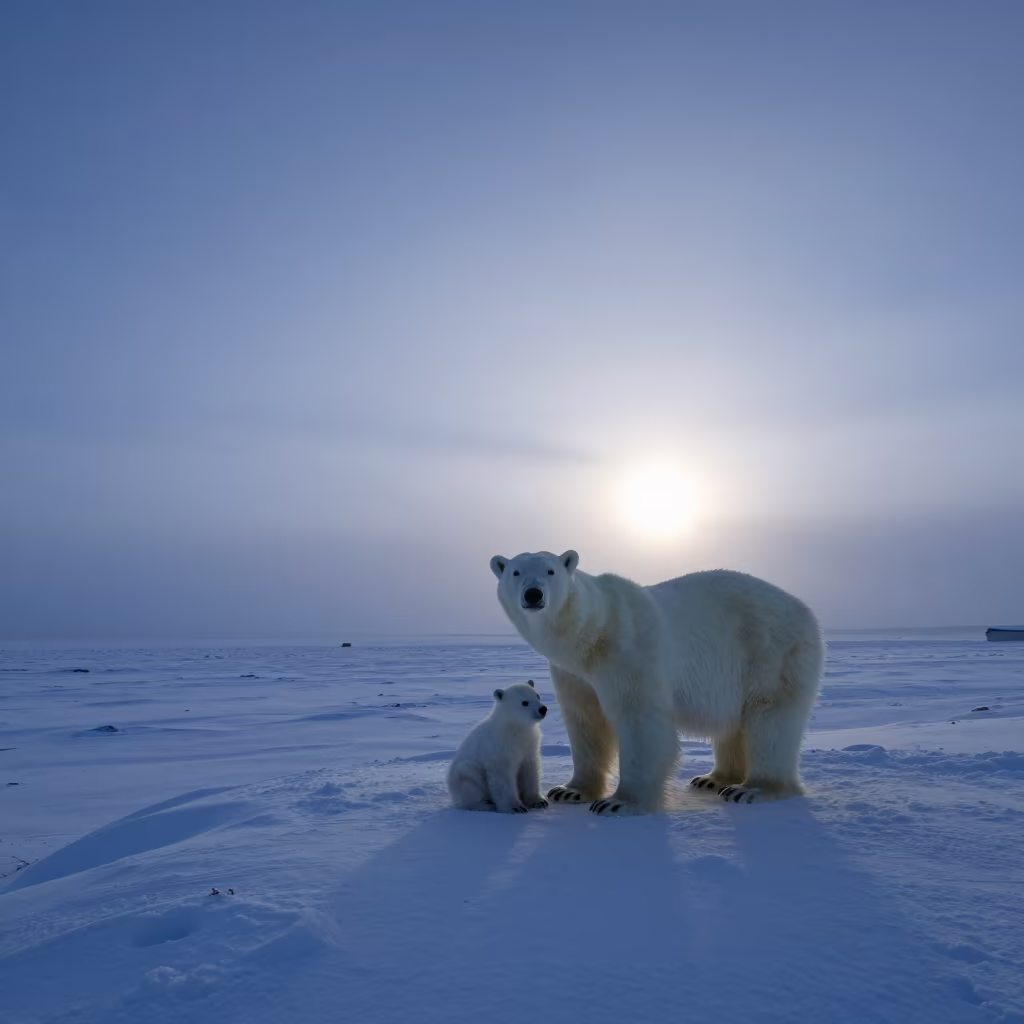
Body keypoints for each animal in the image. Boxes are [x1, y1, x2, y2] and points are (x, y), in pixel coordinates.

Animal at [447, 681, 551, 813]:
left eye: (537, 696)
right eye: (524, 702)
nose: (543, 709)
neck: (515, 727)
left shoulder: (529, 744)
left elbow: (530, 770)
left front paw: (539, 801)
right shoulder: (500, 748)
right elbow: (502, 777)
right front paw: (515, 807)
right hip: (464, 773)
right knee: (468, 779)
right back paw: (484, 804)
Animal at [489, 550, 824, 815]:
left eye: (550, 571)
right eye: (516, 571)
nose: (534, 594)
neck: (591, 634)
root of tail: (804, 608)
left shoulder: (629, 649)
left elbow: (639, 718)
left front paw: (619, 802)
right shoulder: (572, 674)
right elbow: (585, 720)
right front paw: (569, 790)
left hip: (771, 650)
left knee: (771, 718)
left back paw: (753, 789)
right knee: (732, 725)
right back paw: (713, 779)